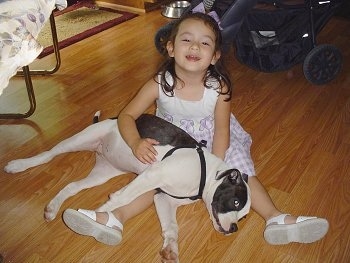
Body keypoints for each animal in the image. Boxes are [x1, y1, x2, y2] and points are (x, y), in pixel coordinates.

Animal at [5, 114, 252, 262]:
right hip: (78, 140)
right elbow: (121, 198)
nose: (234, 229)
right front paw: (98, 214)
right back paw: (18, 165)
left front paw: (171, 249)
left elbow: (172, 227)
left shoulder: (163, 198)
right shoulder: (153, 175)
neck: (205, 174)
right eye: (235, 202)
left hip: (102, 172)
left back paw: (52, 208)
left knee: (72, 185)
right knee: (48, 155)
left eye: (243, 216)